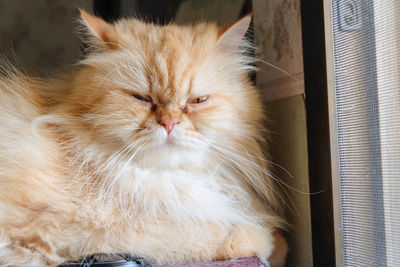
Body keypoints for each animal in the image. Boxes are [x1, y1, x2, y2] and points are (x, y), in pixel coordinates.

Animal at [0, 9, 288, 266]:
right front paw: (265, 240)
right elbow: (198, 233)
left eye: (197, 101)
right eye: (141, 98)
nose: (169, 122)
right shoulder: (79, 227)